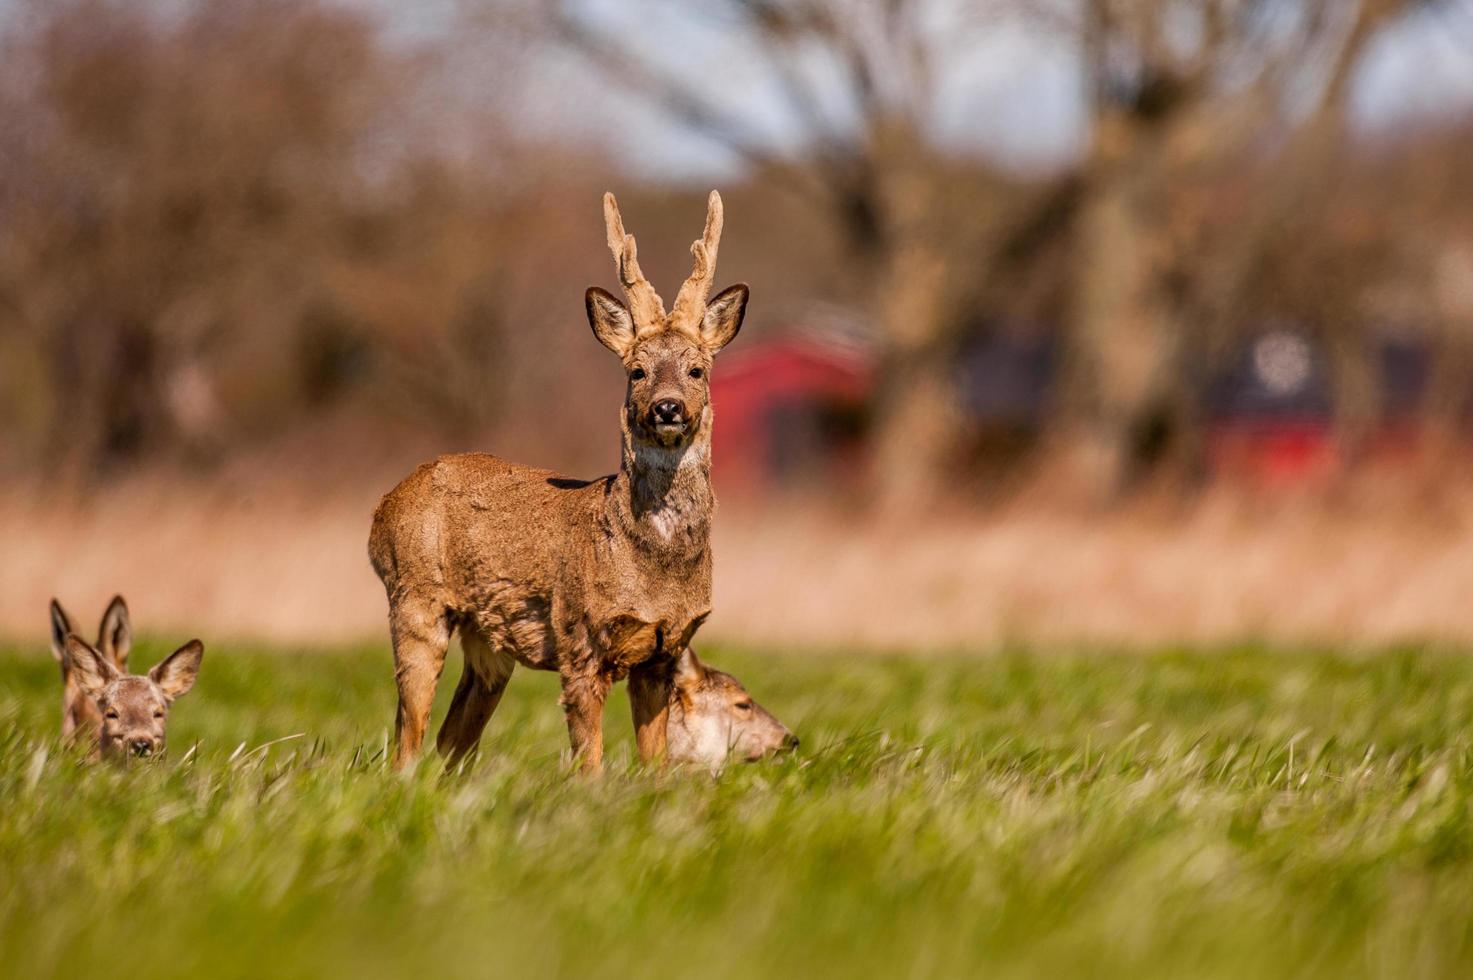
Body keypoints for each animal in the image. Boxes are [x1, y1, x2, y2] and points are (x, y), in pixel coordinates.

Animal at [374, 191, 801, 772]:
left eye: (697, 370)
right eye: (637, 371)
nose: (667, 408)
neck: (652, 566)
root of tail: (383, 508)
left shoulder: (664, 649)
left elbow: (654, 762)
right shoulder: (580, 639)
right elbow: (589, 766)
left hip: (488, 640)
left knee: (450, 739)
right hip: (415, 600)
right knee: (408, 738)